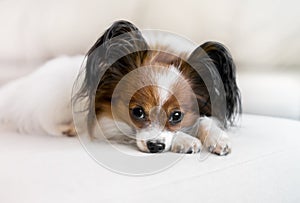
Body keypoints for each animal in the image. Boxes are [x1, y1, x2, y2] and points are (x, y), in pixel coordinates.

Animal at [0, 20, 240, 155]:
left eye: (176, 116)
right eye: (137, 112)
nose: (155, 147)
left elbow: (204, 120)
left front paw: (218, 139)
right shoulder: (106, 126)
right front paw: (186, 140)